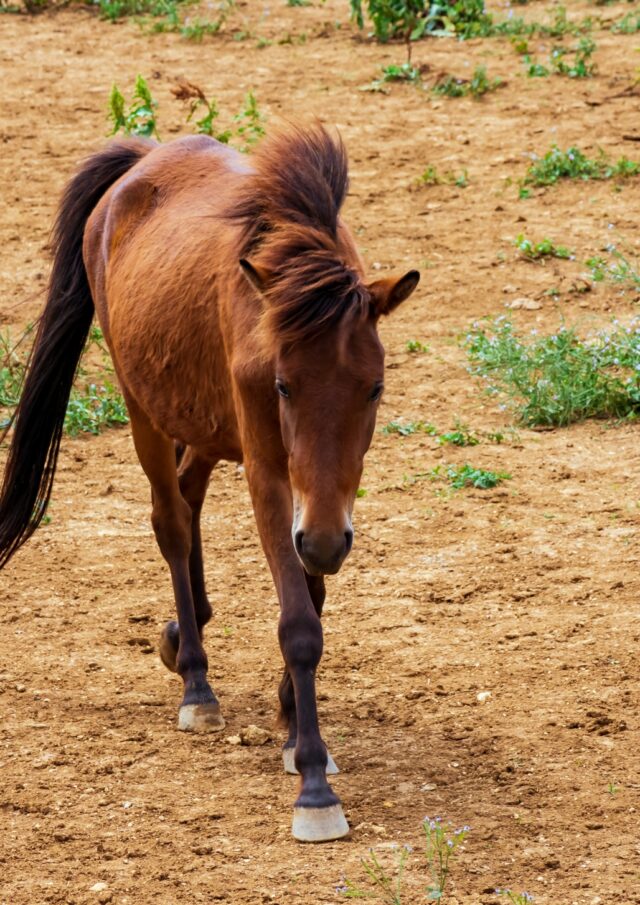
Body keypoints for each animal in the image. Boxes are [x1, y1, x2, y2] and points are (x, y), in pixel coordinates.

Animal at [0, 125, 420, 840]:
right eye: (283, 385)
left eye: (374, 387)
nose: (326, 538)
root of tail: (142, 160)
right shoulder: (271, 476)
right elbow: (299, 622)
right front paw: (313, 786)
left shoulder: (327, 504)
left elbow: (313, 590)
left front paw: (293, 728)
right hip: (143, 407)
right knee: (170, 520)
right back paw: (196, 680)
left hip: (200, 427)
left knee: (189, 494)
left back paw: (184, 629)